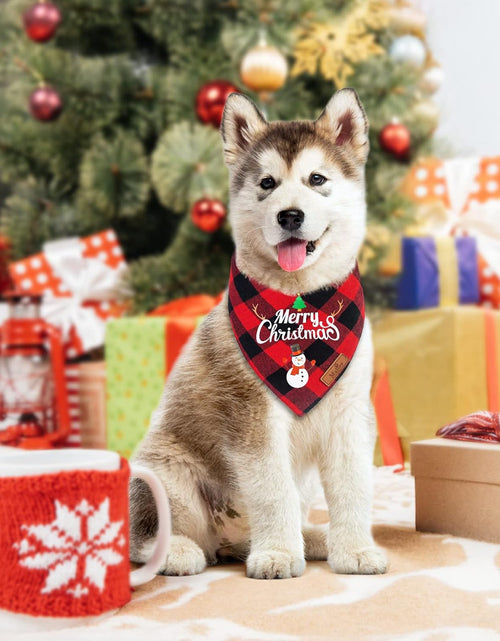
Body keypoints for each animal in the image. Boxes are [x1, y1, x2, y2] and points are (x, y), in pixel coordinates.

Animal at [129, 89, 386, 580]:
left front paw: (354, 549)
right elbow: (272, 490)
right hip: (164, 472)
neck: (301, 305)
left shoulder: (349, 412)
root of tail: (225, 539)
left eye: (316, 178)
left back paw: (311, 539)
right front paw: (280, 555)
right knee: (143, 534)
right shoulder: (253, 417)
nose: (290, 215)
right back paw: (178, 552)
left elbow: (354, 486)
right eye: (267, 183)